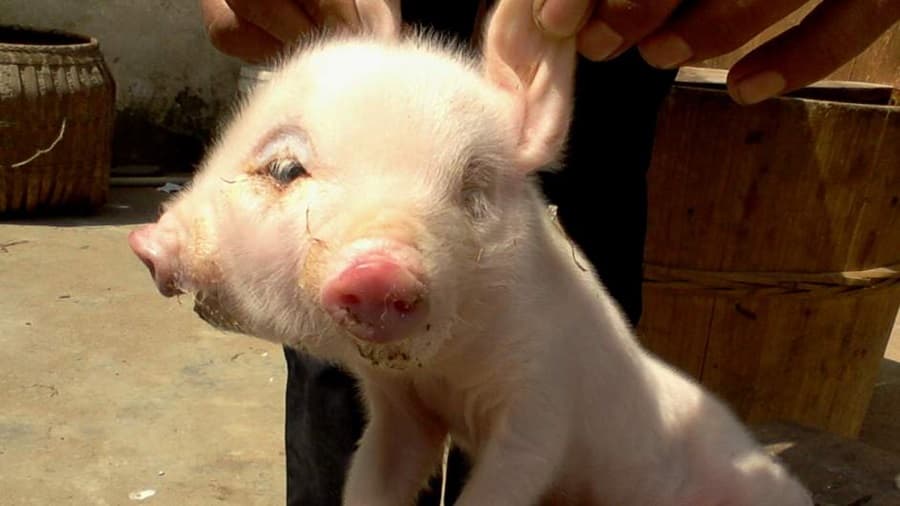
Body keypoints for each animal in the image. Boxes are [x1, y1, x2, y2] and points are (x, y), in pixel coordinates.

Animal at [128, 1, 813, 505]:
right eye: (285, 168)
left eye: (473, 186)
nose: (379, 269)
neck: (448, 369)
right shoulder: (400, 408)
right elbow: (376, 474)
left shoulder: (543, 400)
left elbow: (509, 477)